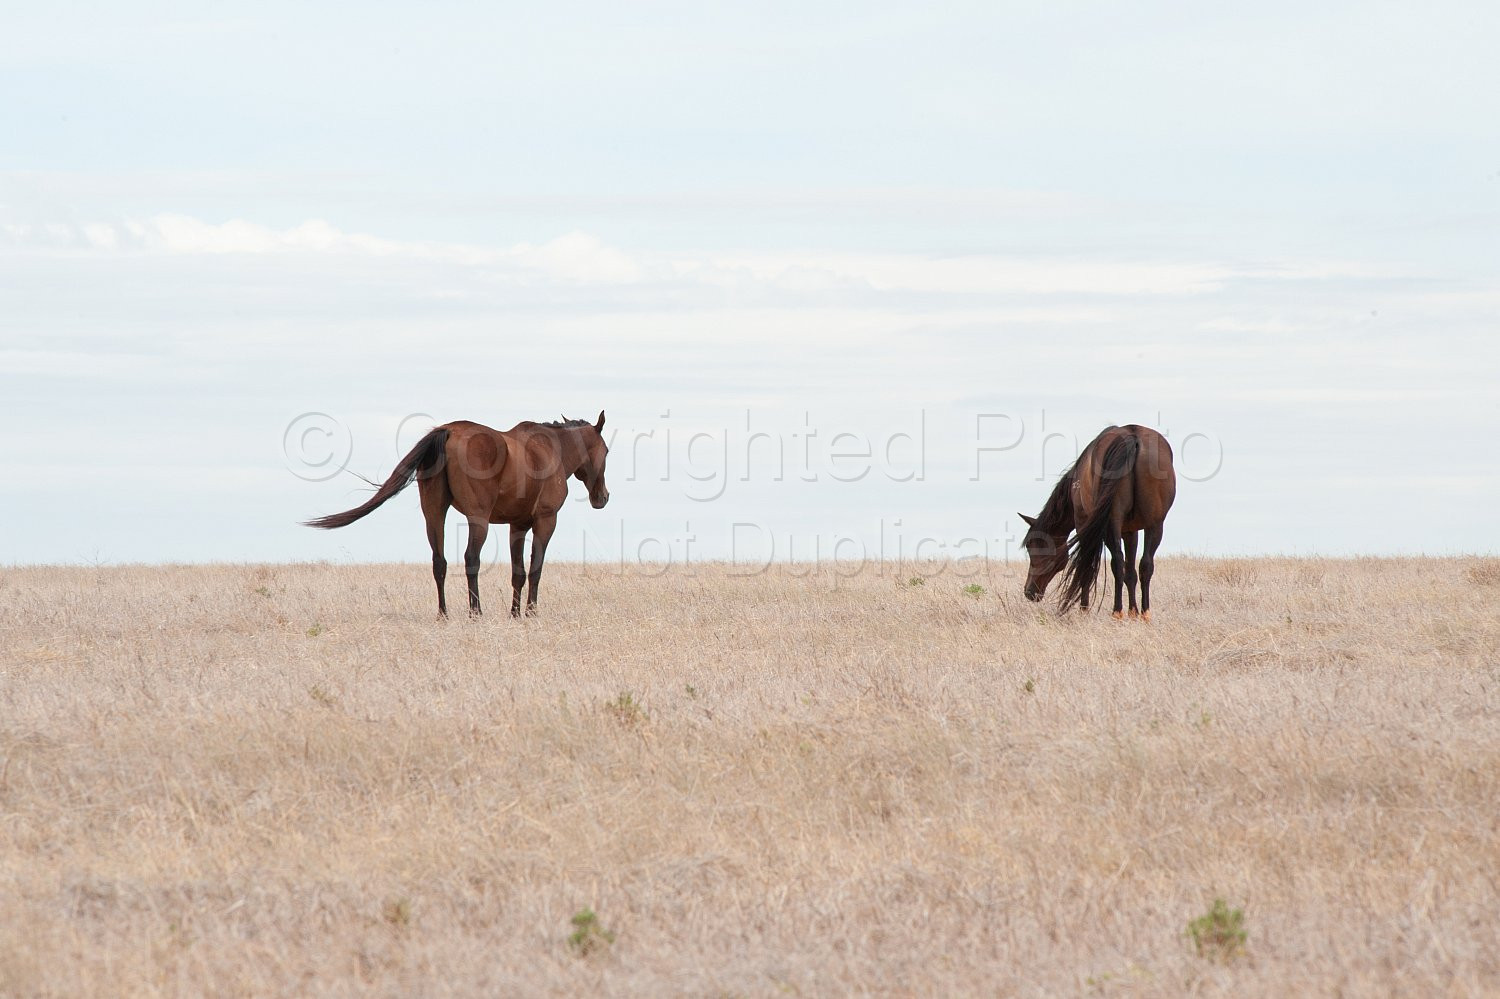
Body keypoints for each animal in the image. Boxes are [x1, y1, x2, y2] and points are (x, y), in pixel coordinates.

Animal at [305, 413, 610, 618]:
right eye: (606, 450)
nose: (602, 497)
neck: (550, 450)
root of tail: (448, 431)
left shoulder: (517, 526)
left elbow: (518, 573)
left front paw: (515, 614)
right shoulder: (545, 521)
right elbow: (535, 569)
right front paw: (531, 613)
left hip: (433, 513)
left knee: (439, 562)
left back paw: (444, 614)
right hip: (479, 519)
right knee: (470, 559)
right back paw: (476, 612)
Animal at [1017, 424, 1175, 620]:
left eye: (1032, 548)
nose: (1029, 591)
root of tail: (1133, 436)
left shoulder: (1083, 523)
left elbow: (1087, 566)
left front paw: (1084, 608)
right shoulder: (1130, 531)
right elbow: (1131, 571)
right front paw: (1133, 611)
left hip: (1111, 525)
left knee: (1117, 562)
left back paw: (1117, 611)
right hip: (1155, 525)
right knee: (1145, 565)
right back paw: (1144, 613)